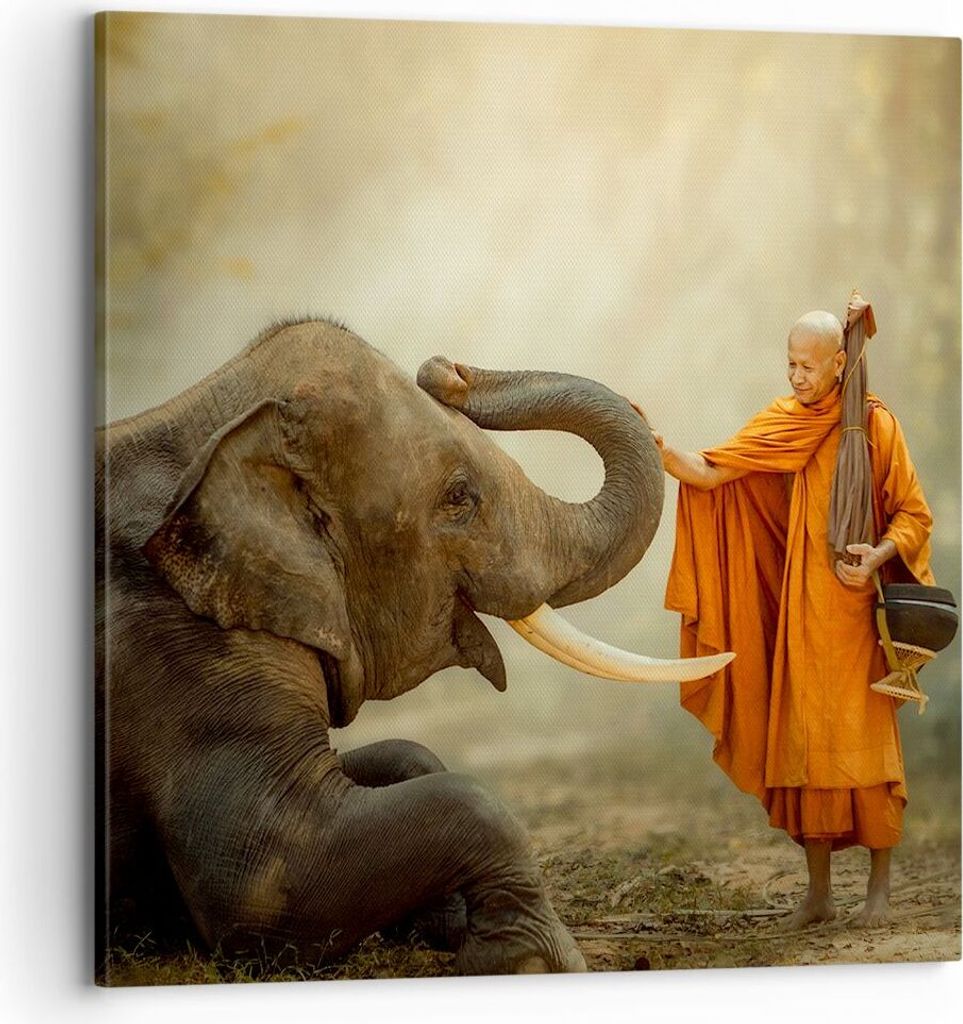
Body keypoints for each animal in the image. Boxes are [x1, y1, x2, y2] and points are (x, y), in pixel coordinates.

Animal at [95, 317, 728, 977]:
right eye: (458, 497)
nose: (448, 369)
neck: (219, 423)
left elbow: (406, 755)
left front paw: (442, 921)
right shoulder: (180, 649)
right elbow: (259, 882)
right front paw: (532, 960)